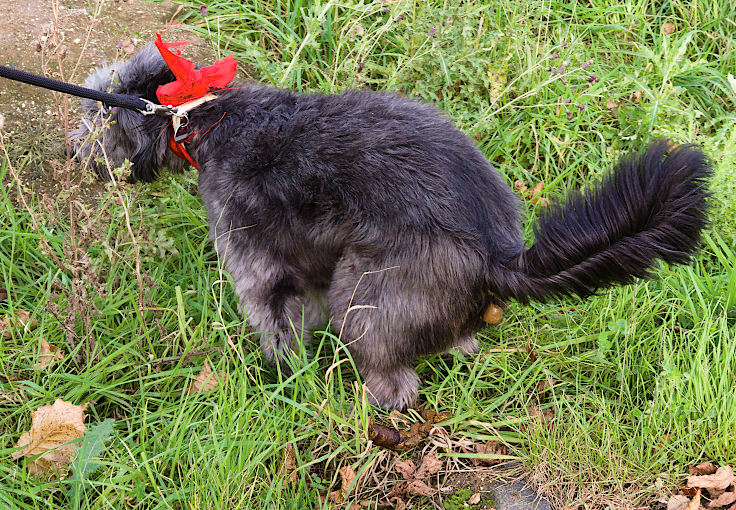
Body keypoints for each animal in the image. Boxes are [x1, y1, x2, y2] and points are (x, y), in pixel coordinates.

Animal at [72, 44, 712, 410]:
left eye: (100, 110)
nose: (72, 151)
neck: (207, 120)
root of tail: (497, 251)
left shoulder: (260, 266)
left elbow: (277, 322)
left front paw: (281, 378)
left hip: (364, 298)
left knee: (396, 377)